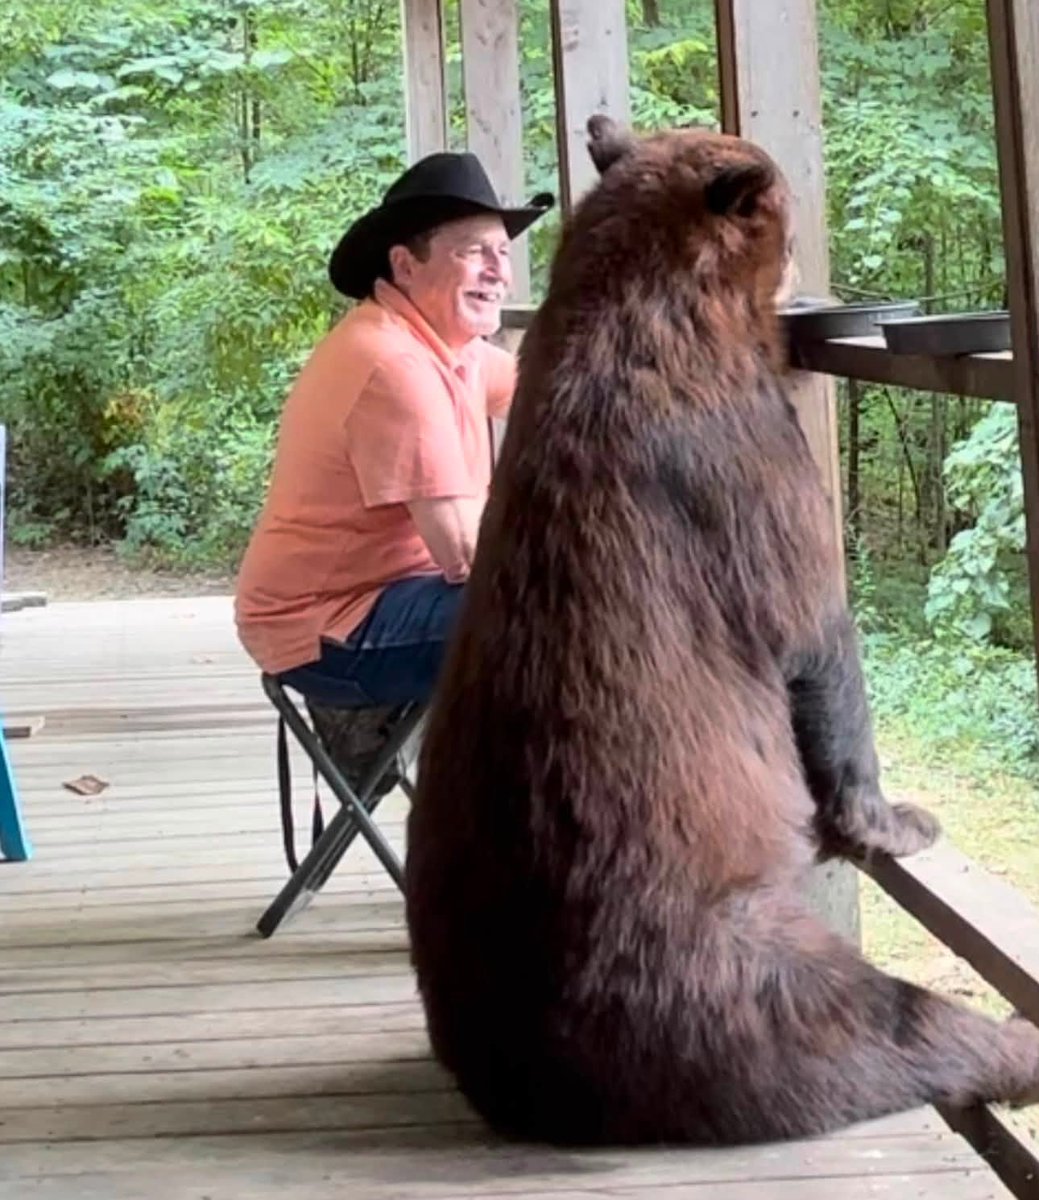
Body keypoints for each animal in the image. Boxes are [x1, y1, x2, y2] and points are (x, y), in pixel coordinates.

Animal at [403, 115, 1039, 1146]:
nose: (806, 264)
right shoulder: (746, 470)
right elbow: (819, 640)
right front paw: (895, 818)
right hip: (720, 975)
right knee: (880, 1024)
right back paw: (1014, 1041)